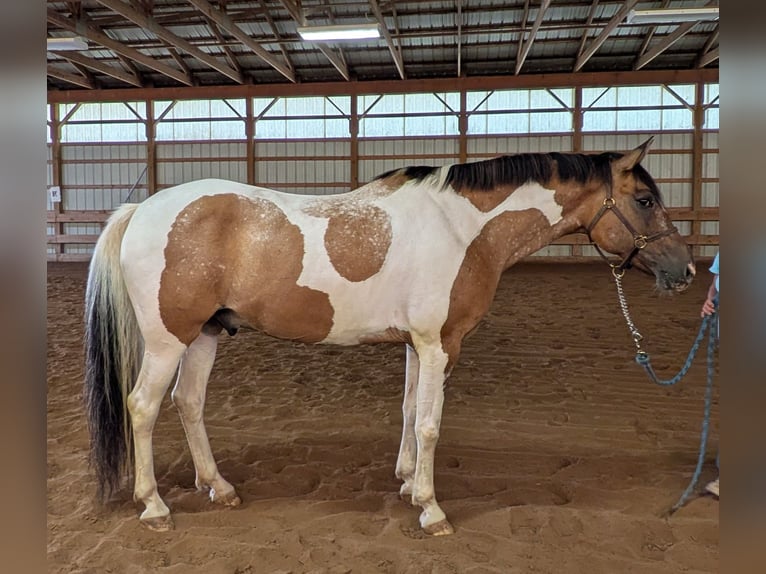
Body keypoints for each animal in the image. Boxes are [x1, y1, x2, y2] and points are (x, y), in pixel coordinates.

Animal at [84, 137, 695, 536]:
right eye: (645, 201)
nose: (686, 270)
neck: (464, 230)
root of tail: (142, 209)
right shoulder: (439, 343)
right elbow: (429, 424)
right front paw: (430, 508)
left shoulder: (416, 344)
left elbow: (407, 411)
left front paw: (404, 483)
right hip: (169, 340)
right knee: (143, 407)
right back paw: (154, 507)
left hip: (206, 334)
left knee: (188, 403)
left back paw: (221, 487)